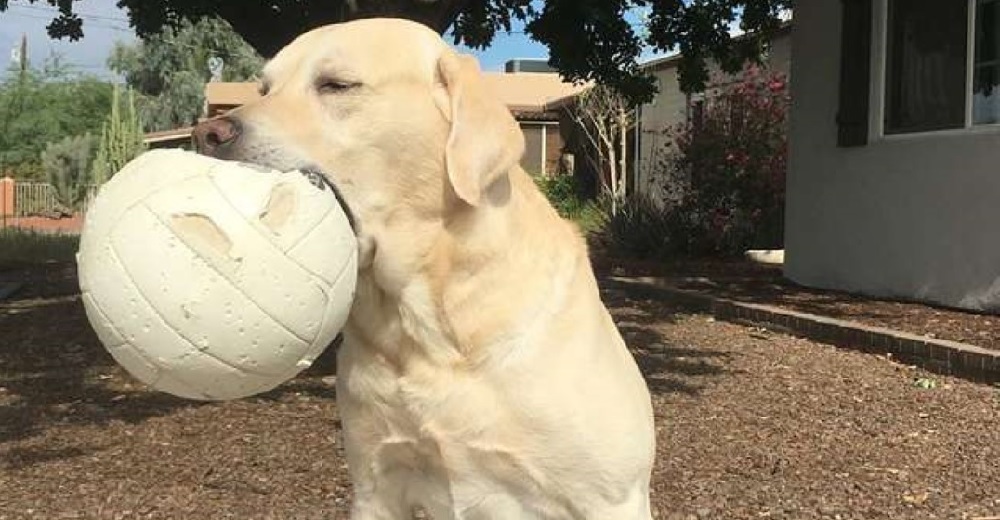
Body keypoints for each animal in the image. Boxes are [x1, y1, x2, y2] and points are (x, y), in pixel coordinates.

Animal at [192, 17, 656, 520]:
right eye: (264, 87)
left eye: (336, 85)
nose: (207, 134)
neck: (429, 325)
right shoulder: (375, 486)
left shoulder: (609, 498)